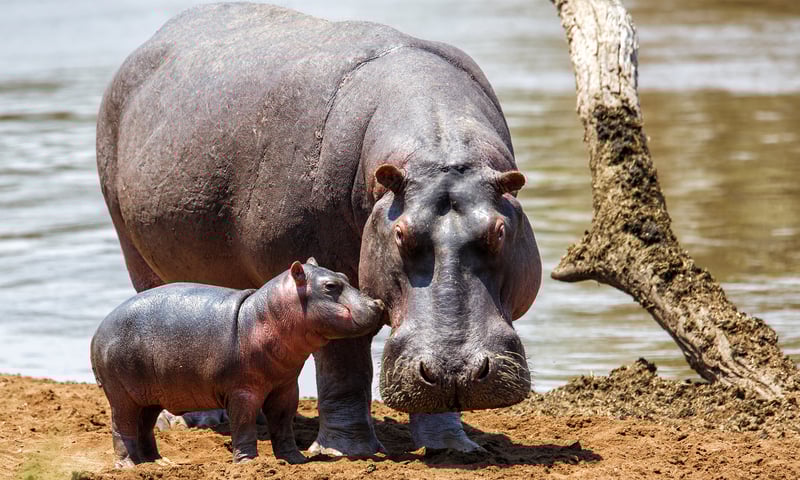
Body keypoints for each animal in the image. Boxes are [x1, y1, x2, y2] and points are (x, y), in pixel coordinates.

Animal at [90, 259, 385, 466]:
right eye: (330, 287)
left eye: (345, 277)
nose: (378, 303)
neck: (264, 315)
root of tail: (97, 332)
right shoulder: (243, 391)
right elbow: (243, 425)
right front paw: (247, 463)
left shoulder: (286, 387)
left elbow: (283, 423)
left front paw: (295, 459)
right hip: (122, 396)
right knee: (122, 428)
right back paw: (128, 466)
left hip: (149, 396)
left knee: (145, 427)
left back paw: (158, 462)